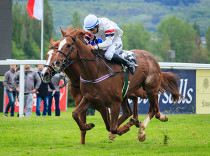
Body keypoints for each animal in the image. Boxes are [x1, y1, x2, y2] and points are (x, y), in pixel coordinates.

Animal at [48, 28, 182, 144]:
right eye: (59, 46)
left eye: (68, 45)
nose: (56, 63)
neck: (95, 72)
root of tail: (151, 57)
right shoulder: (89, 99)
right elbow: (75, 114)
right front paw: (88, 125)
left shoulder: (114, 102)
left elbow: (112, 127)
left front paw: (126, 127)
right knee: (139, 110)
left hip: (149, 88)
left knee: (153, 109)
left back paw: (142, 130)